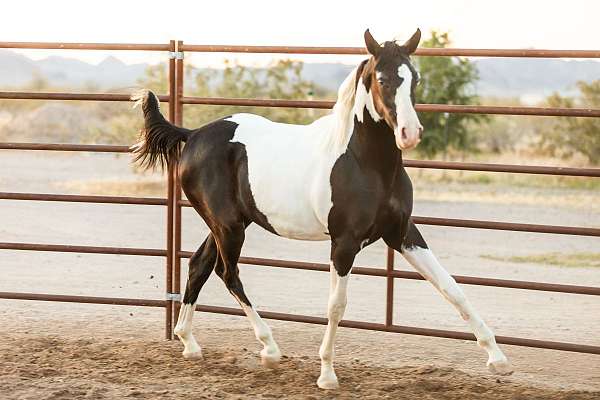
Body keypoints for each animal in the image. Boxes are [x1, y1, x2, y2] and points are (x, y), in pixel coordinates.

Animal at [132, 29, 510, 390]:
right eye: (382, 79)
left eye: (414, 78)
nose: (409, 133)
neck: (365, 163)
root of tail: (193, 134)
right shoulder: (343, 243)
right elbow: (336, 305)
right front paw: (327, 374)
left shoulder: (403, 234)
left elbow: (451, 287)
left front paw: (498, 360)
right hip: (229, 226)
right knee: (228, 273)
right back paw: (269, 349)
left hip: (228, 224)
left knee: (199, 265)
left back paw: (189, 344)